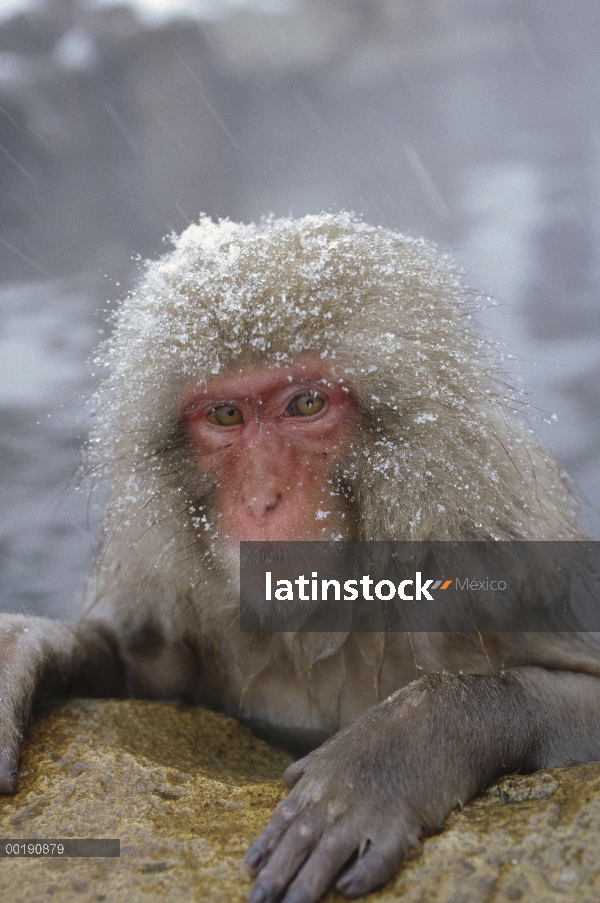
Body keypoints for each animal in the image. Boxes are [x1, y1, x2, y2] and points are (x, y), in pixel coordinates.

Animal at [1, 214, 600, 903]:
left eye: (306, 405)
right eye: (226, 414)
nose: (262, 499)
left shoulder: (506, 563)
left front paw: (389, 755)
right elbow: (133, 669)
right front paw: (23, 646)